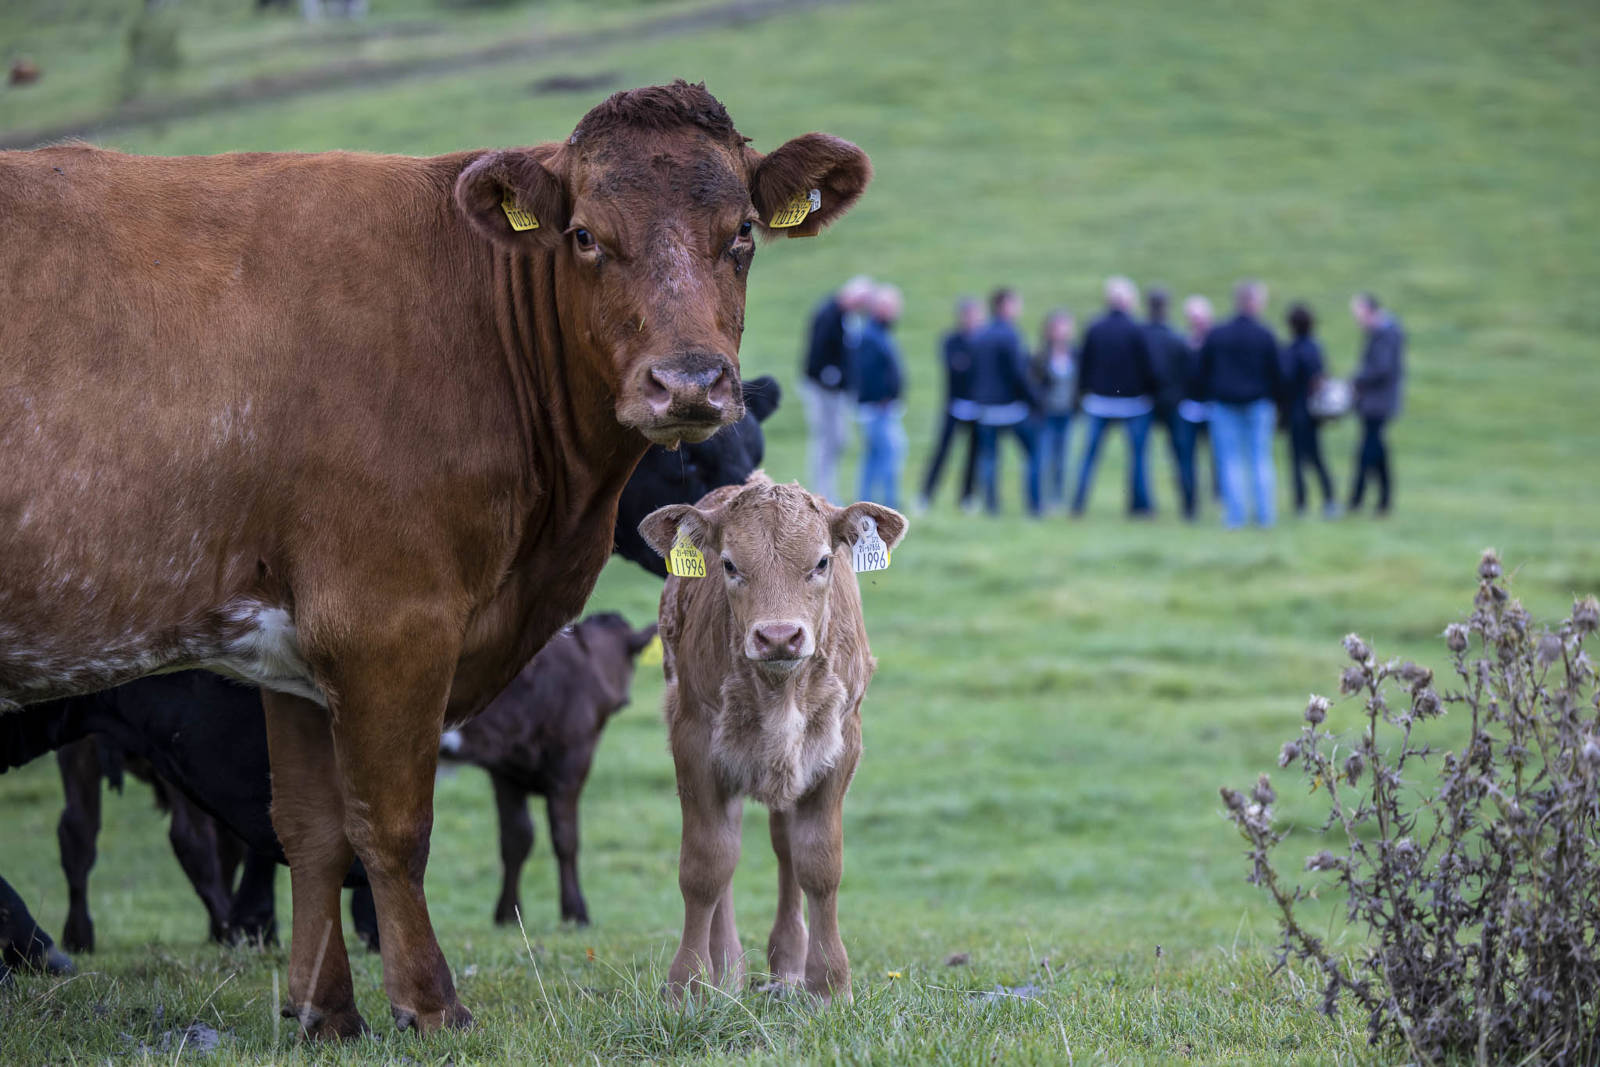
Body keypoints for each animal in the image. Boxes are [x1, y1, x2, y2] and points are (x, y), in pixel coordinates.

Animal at [0, 81, 870, 1036]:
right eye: (585, 235)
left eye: (743, 230)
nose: (688, 382)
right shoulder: (387, 623)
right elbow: (391, 825)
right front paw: (428, 1000)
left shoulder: (289, 650)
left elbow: (310, 827)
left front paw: (325, 1011)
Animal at [640, 473, 915, 1004]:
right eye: (729, 564)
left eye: (823, 561)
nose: (780, 636)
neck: (780, 691)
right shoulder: (694, 744)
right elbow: (705, 866)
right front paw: (688, 985)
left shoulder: (839, 748)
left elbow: (819, 863)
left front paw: (829, 984)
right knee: (727, 850)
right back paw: (727, 968)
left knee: (785, 847)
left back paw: (788, 963)